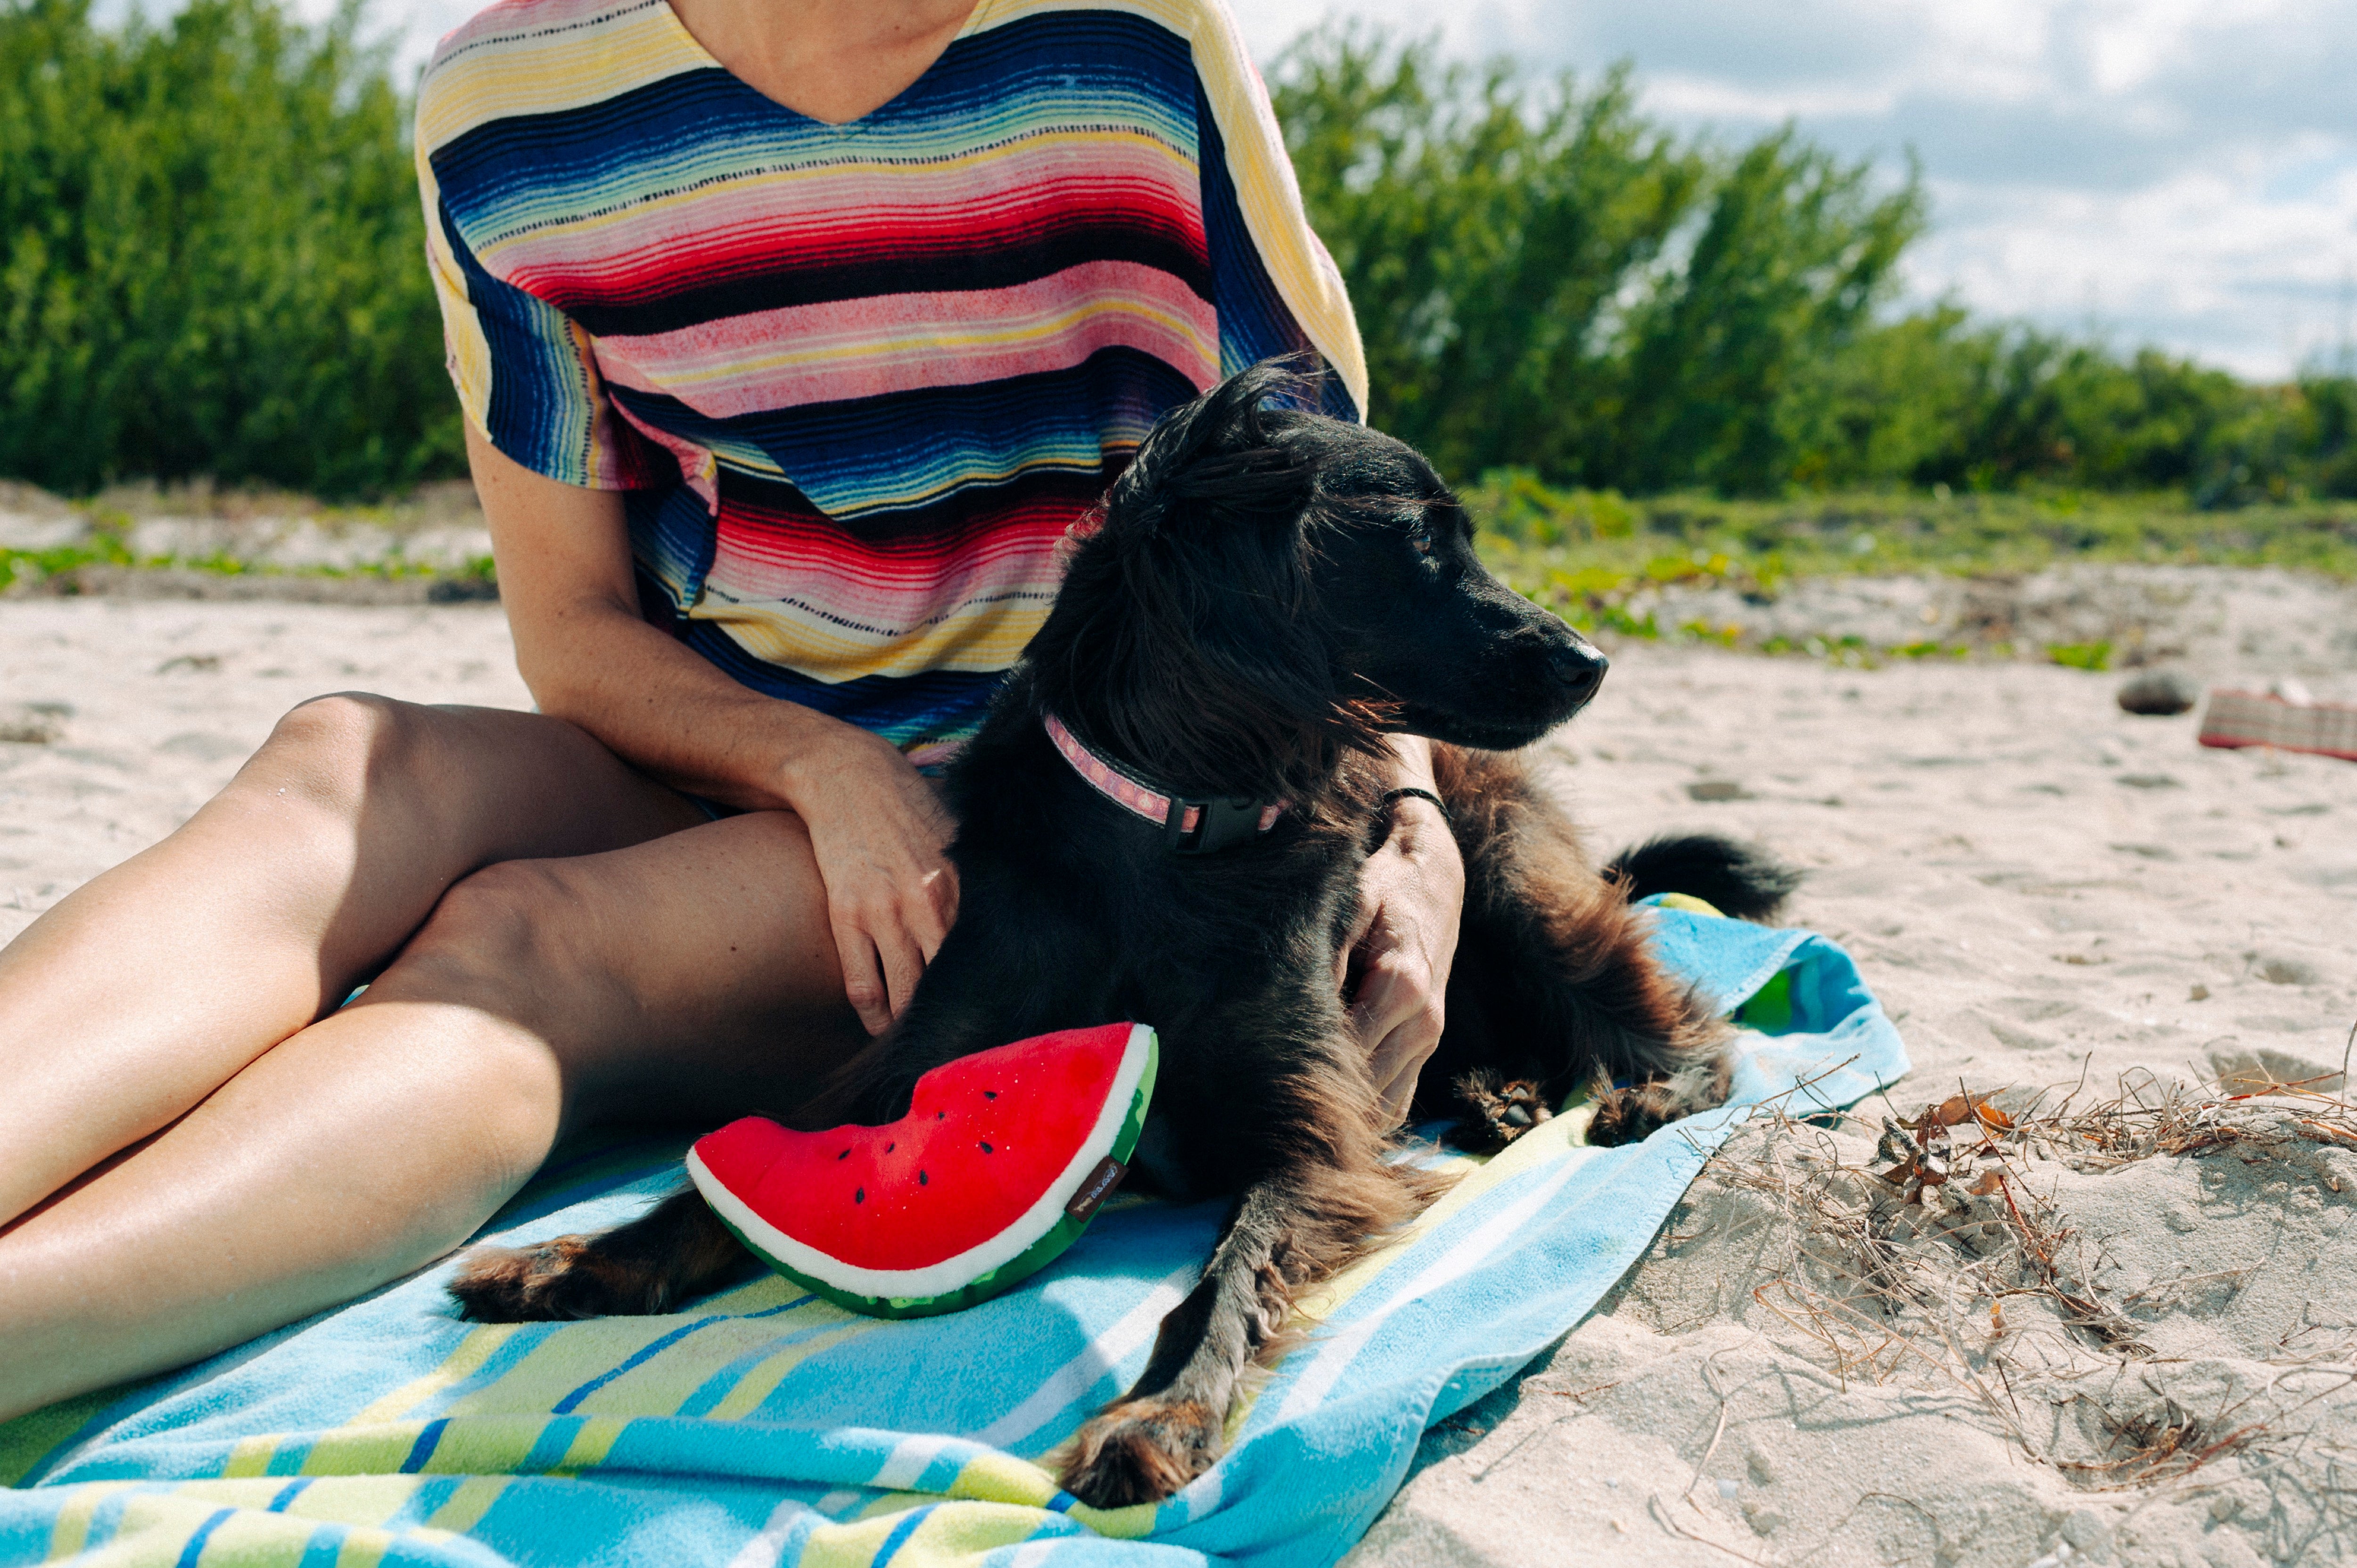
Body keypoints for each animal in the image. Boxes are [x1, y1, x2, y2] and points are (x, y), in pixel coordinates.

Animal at [450, 363, 1791, 1509]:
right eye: (1420, 542)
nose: (1595, 659)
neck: (1173, 829)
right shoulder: (916, 1062)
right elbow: (721, 1184)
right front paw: (570, 1259)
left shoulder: (1308, 1134)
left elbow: (1231, 1271)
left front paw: (1162, 1416)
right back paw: (1500, 1094)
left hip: (1507, 872)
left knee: (1675, 1012)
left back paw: (1644, 1091)